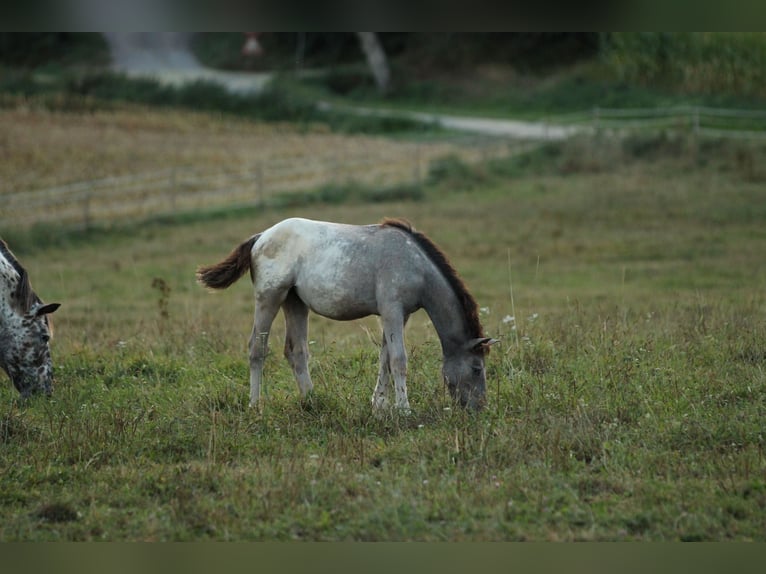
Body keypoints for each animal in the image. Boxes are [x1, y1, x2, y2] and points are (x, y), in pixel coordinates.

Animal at [198, 218, 498, 412]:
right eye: (477, 368)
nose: (479, 409)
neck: (414, 264)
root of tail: (260, 237)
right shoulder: (391, 310)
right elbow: (398, 360)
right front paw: (403, 409)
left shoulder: (399, 316)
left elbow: (385, 358)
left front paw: (379, 405)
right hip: (269, 298)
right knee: (256, 349)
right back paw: (255, 405)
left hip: (295, 303)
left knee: (296, 351)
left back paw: (312, 401)